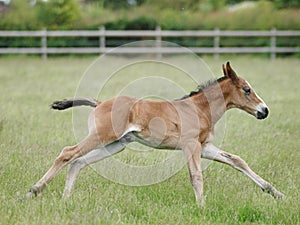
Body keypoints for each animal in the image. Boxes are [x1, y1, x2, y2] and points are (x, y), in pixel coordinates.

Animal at [26, 61, 284, 204]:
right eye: (247, 89)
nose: (264, 111)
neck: (200, 108)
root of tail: (99, 103)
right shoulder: (191, 146)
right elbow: (196, 176)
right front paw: (202, 207)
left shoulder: (205, 147)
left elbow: (237, 161)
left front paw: (275, 192)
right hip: (102, 137)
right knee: (67, 153)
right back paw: (34, 190)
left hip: (115, 144)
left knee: (77, 162)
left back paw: (65, 199)